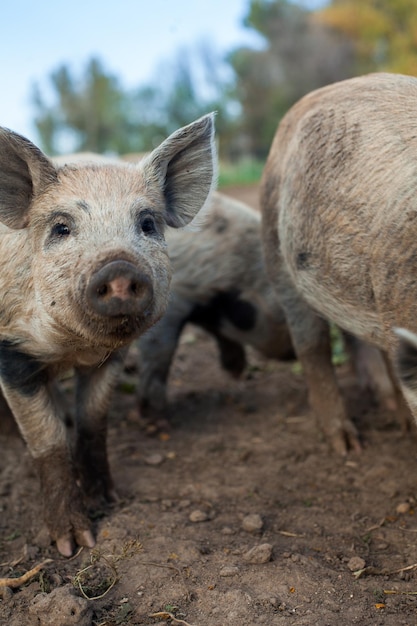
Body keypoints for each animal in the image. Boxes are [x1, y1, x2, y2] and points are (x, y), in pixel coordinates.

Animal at [0, 112, 216, 552]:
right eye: (61, 228)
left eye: (147, 224)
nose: (118, 269)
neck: (73, 348)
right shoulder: (12, 353)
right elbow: (47, 441)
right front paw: (73, 544)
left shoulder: (112, 358)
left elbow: (93, 423)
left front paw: (107, 502)